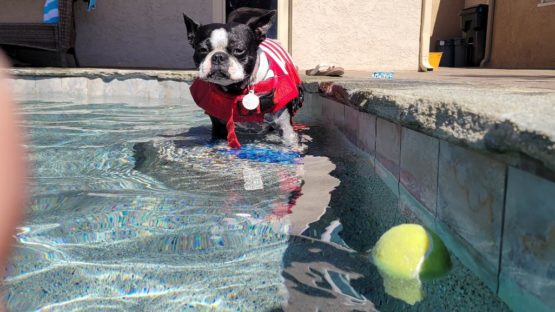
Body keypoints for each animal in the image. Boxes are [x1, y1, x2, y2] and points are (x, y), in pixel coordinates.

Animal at [182, 9, 304, 149]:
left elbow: (289, 140)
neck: (237, 90)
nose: (218, 56)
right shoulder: (219, 126)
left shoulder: (284, 125)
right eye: (202, 49)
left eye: (238, 50)